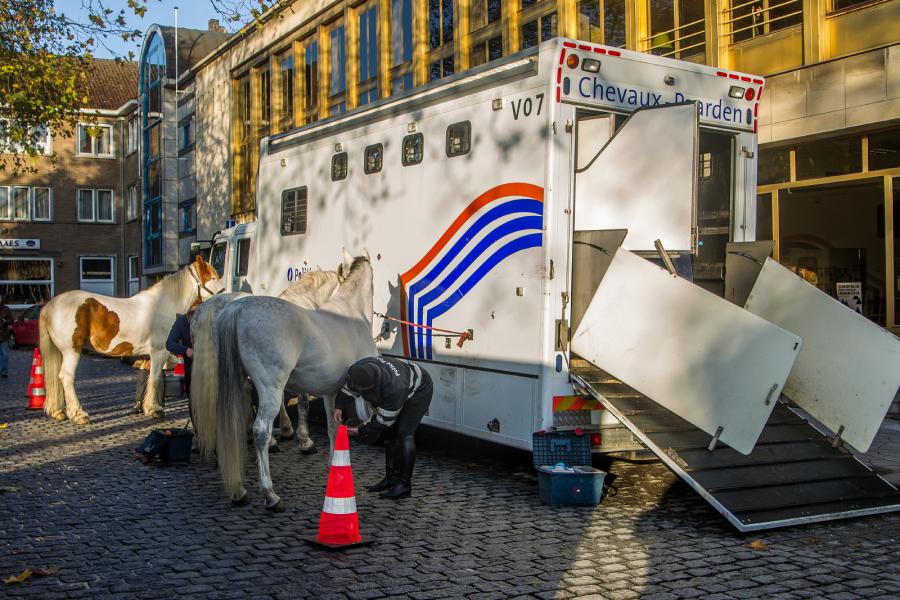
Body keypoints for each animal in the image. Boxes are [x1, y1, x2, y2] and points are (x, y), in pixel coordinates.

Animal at [40, 255, 225, 424]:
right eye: (213, 277)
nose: (225, 298)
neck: (162, 305)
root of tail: (50, 305)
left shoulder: (150, 355)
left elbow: (150, 377)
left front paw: (147, 406)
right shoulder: (159, 352)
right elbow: (155, 377)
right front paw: (154, 409)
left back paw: (58, 412)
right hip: (71, 351)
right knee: (66, 377)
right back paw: (79, 414)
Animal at [214, 250, 376, 510]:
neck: (351, 314)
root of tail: (236, 309)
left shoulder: (331, 391)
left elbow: (332, 428)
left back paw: (239, 491)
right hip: (270, 389)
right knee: (260, 430)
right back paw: (270, 494)